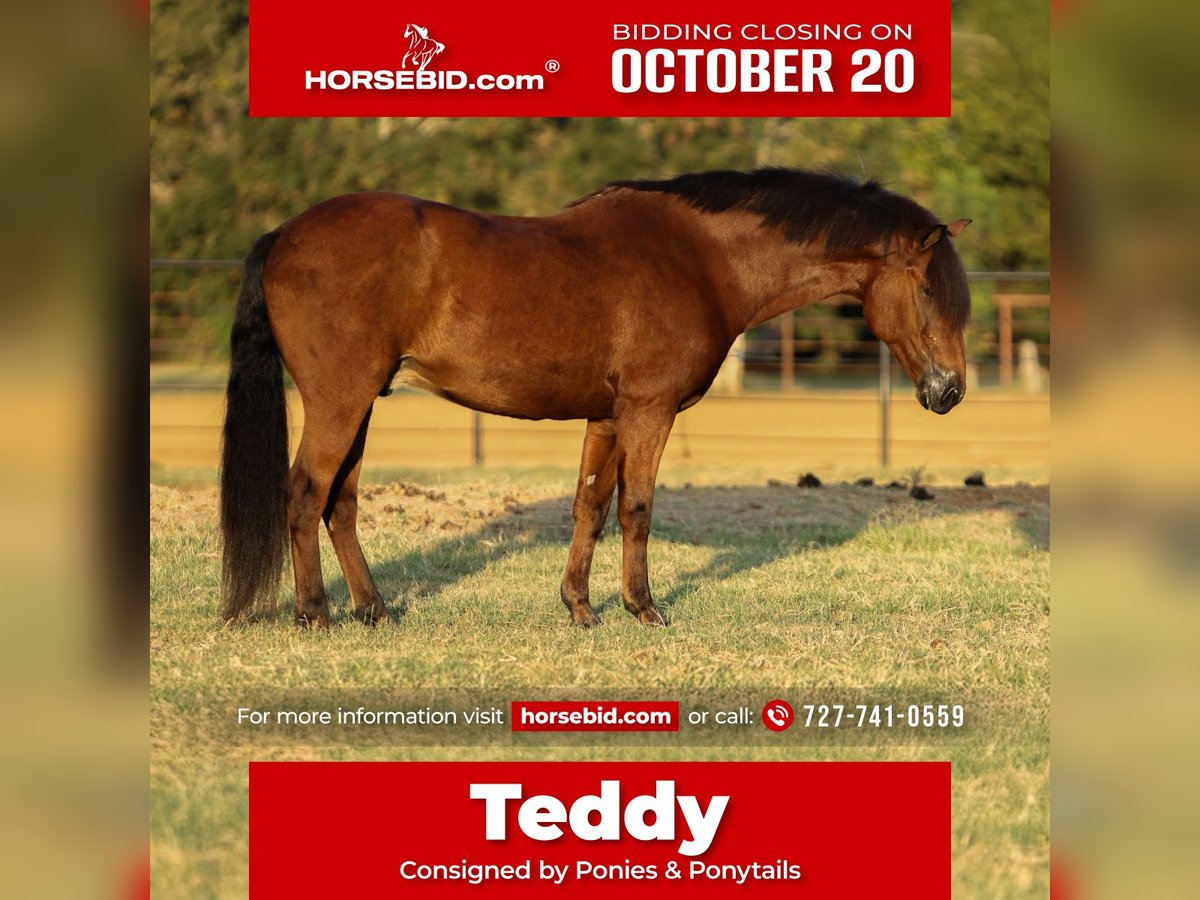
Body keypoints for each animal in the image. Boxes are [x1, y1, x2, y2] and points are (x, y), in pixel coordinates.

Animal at [220, 168, 971, 629]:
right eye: (927, 288)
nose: (951, 390)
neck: (702, 259)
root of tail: (284, 235)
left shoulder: (607, 418)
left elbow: (591, 506)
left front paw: (579, 608)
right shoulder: (648, 411)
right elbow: (638, 508)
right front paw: (644, 608)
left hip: (364, 402)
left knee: (340, 502)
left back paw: (374, 610)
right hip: (339, 400)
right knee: (305, 493)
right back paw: (315, 613)